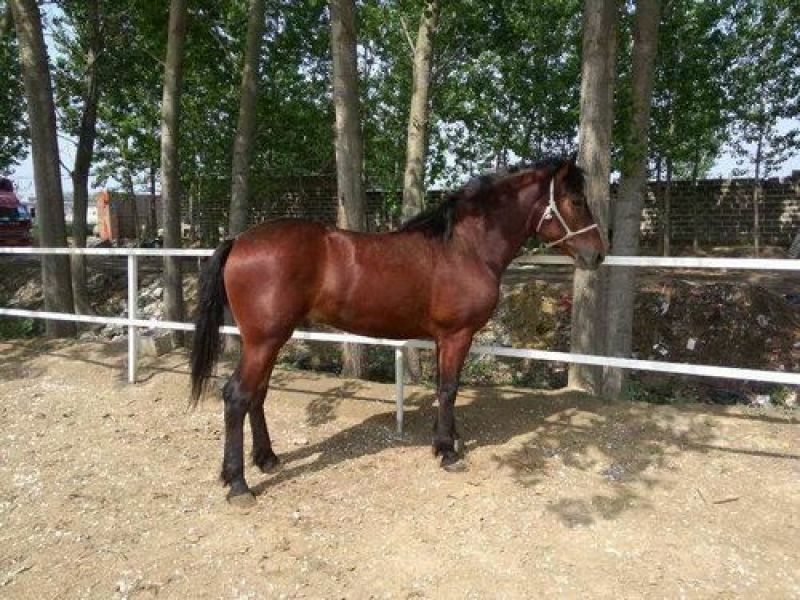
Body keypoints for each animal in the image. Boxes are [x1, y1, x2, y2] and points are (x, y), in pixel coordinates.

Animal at [190, 155, 605, 505]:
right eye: (576, 199)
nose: (598, 254)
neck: (465, 247)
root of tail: (239, 241)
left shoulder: (443, 339)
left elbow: (445, 387)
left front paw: (448, 439)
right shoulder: (457, 335)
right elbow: (449, 388)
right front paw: (447, 451)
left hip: (271, 340)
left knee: (257, 395)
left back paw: (267, 459)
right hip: (263, 340)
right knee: (237, 396)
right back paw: (239, 484)